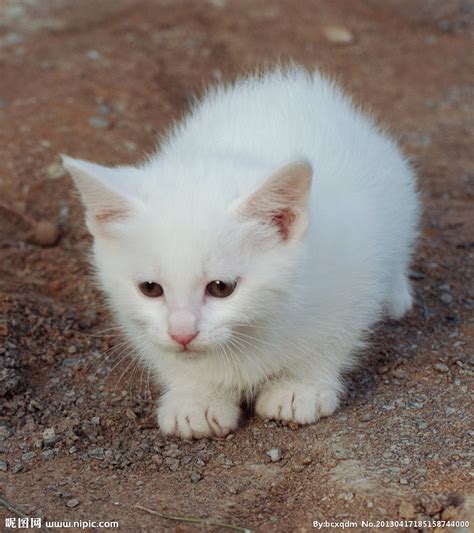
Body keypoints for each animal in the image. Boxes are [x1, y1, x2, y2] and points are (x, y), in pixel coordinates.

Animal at [62, 66, 418, 438]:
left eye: (221, 288)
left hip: (396, 189)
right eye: (150, 288)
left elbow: (333, 338)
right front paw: (197, 398)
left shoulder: (354, 266)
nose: (182, 334)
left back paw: (397, 296)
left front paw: (299, 388)